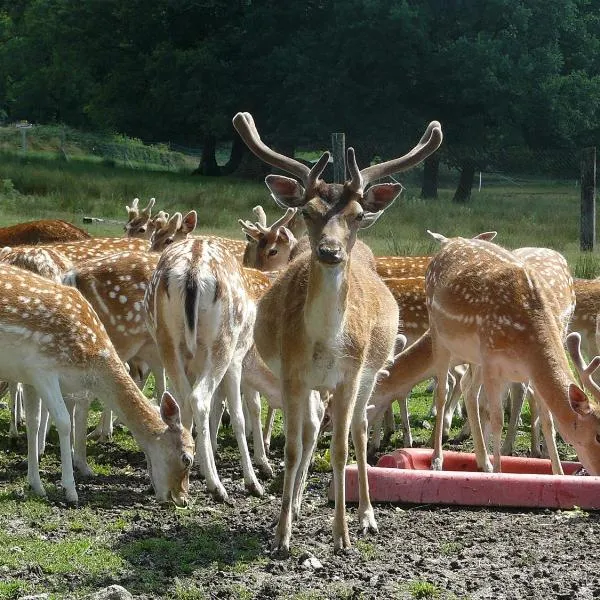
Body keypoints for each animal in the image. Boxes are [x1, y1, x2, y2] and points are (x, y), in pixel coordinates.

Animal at [0, 264, 193, 504]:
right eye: (187, 459)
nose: (182, 499)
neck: (91, 358)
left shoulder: (28, 377)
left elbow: (33, 423)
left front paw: (36, 485)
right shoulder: (43, 369)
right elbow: (64, 422)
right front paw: (70, 491)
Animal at [232, 111, 442, 552]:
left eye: (358, 215)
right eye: (308, 212)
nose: (330, 251)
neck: (326, 343)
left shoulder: (350, 374)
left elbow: (341, 448)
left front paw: (342, 536)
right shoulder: (292, 373)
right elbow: (294, 447)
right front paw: (282, 534)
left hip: (369, 372)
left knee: (360, 430)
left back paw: (367, 517)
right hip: (316, 383)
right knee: (312, 429)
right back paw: (296, 506)